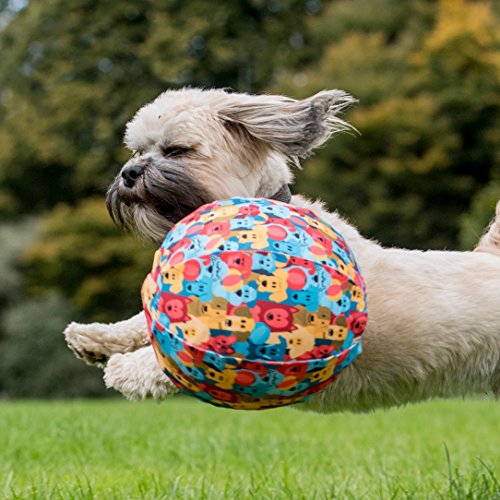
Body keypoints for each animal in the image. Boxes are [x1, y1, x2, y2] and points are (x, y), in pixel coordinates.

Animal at [64, 88, 500, 412]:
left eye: (176, 150)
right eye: (138, 151)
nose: (128, 173)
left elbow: (179, 357)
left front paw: (125, 370)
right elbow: (143, 320)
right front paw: (95, 338)